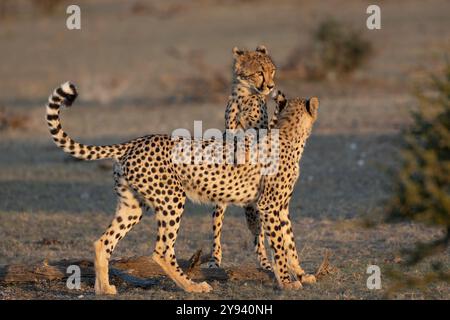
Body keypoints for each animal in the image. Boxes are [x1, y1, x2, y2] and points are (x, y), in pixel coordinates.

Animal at [44, 83, 314, 296]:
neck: (289, 134)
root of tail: (135, 142)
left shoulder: (281, 208)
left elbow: (290, 241)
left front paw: (302, 275)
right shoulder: (269, 206)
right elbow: (279, 245)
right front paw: (287, 282)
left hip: (132, 205)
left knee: (103, 242)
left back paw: (104, 289)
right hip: (172, 199)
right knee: (162, 251)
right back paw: (192, 286)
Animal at [208, 45, 280, 270]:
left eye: (272, 71)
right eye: (259, 72)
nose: (271, 86)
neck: (245, 95)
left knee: (259, 235)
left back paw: (266, 263)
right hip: (219, 204)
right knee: (217, 229)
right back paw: (214, 260)